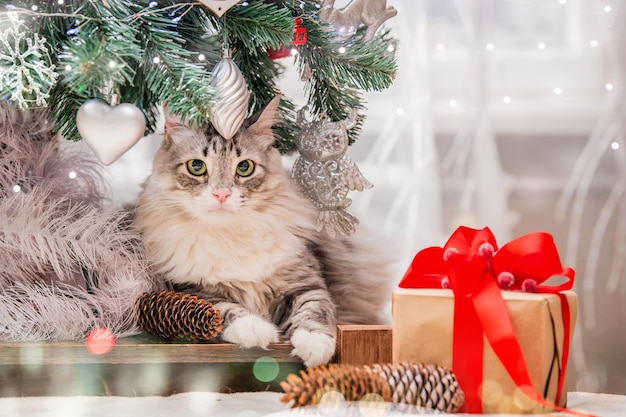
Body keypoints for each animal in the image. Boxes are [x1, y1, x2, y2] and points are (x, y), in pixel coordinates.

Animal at [134, 96, 390, 366]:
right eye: (196, 166)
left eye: (245, 167)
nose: (222, 194)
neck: (230, 236)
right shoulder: (190, 290)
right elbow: (222, 310)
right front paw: (255, 330)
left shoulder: (305, 283)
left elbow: (314, 310)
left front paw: (314, 345)